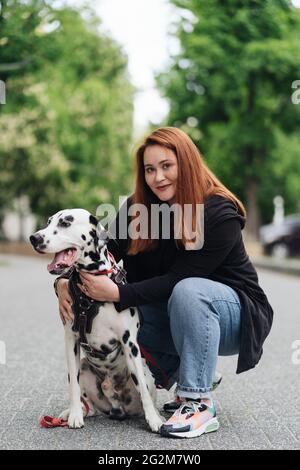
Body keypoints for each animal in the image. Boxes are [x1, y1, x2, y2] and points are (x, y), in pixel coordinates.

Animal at [29, 209, 163, 434]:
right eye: (48, 222)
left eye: (65, 223)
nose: (34, 238)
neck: (90, 296)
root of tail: (115, 404)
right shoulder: (71, 341)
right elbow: (73, 386)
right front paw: (75, 414)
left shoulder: (130, 344)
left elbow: (143, 391)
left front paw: (154, 420)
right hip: (85, 368)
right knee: (88, 403)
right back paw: (76, 411)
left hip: (145, 371)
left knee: (145, 390)